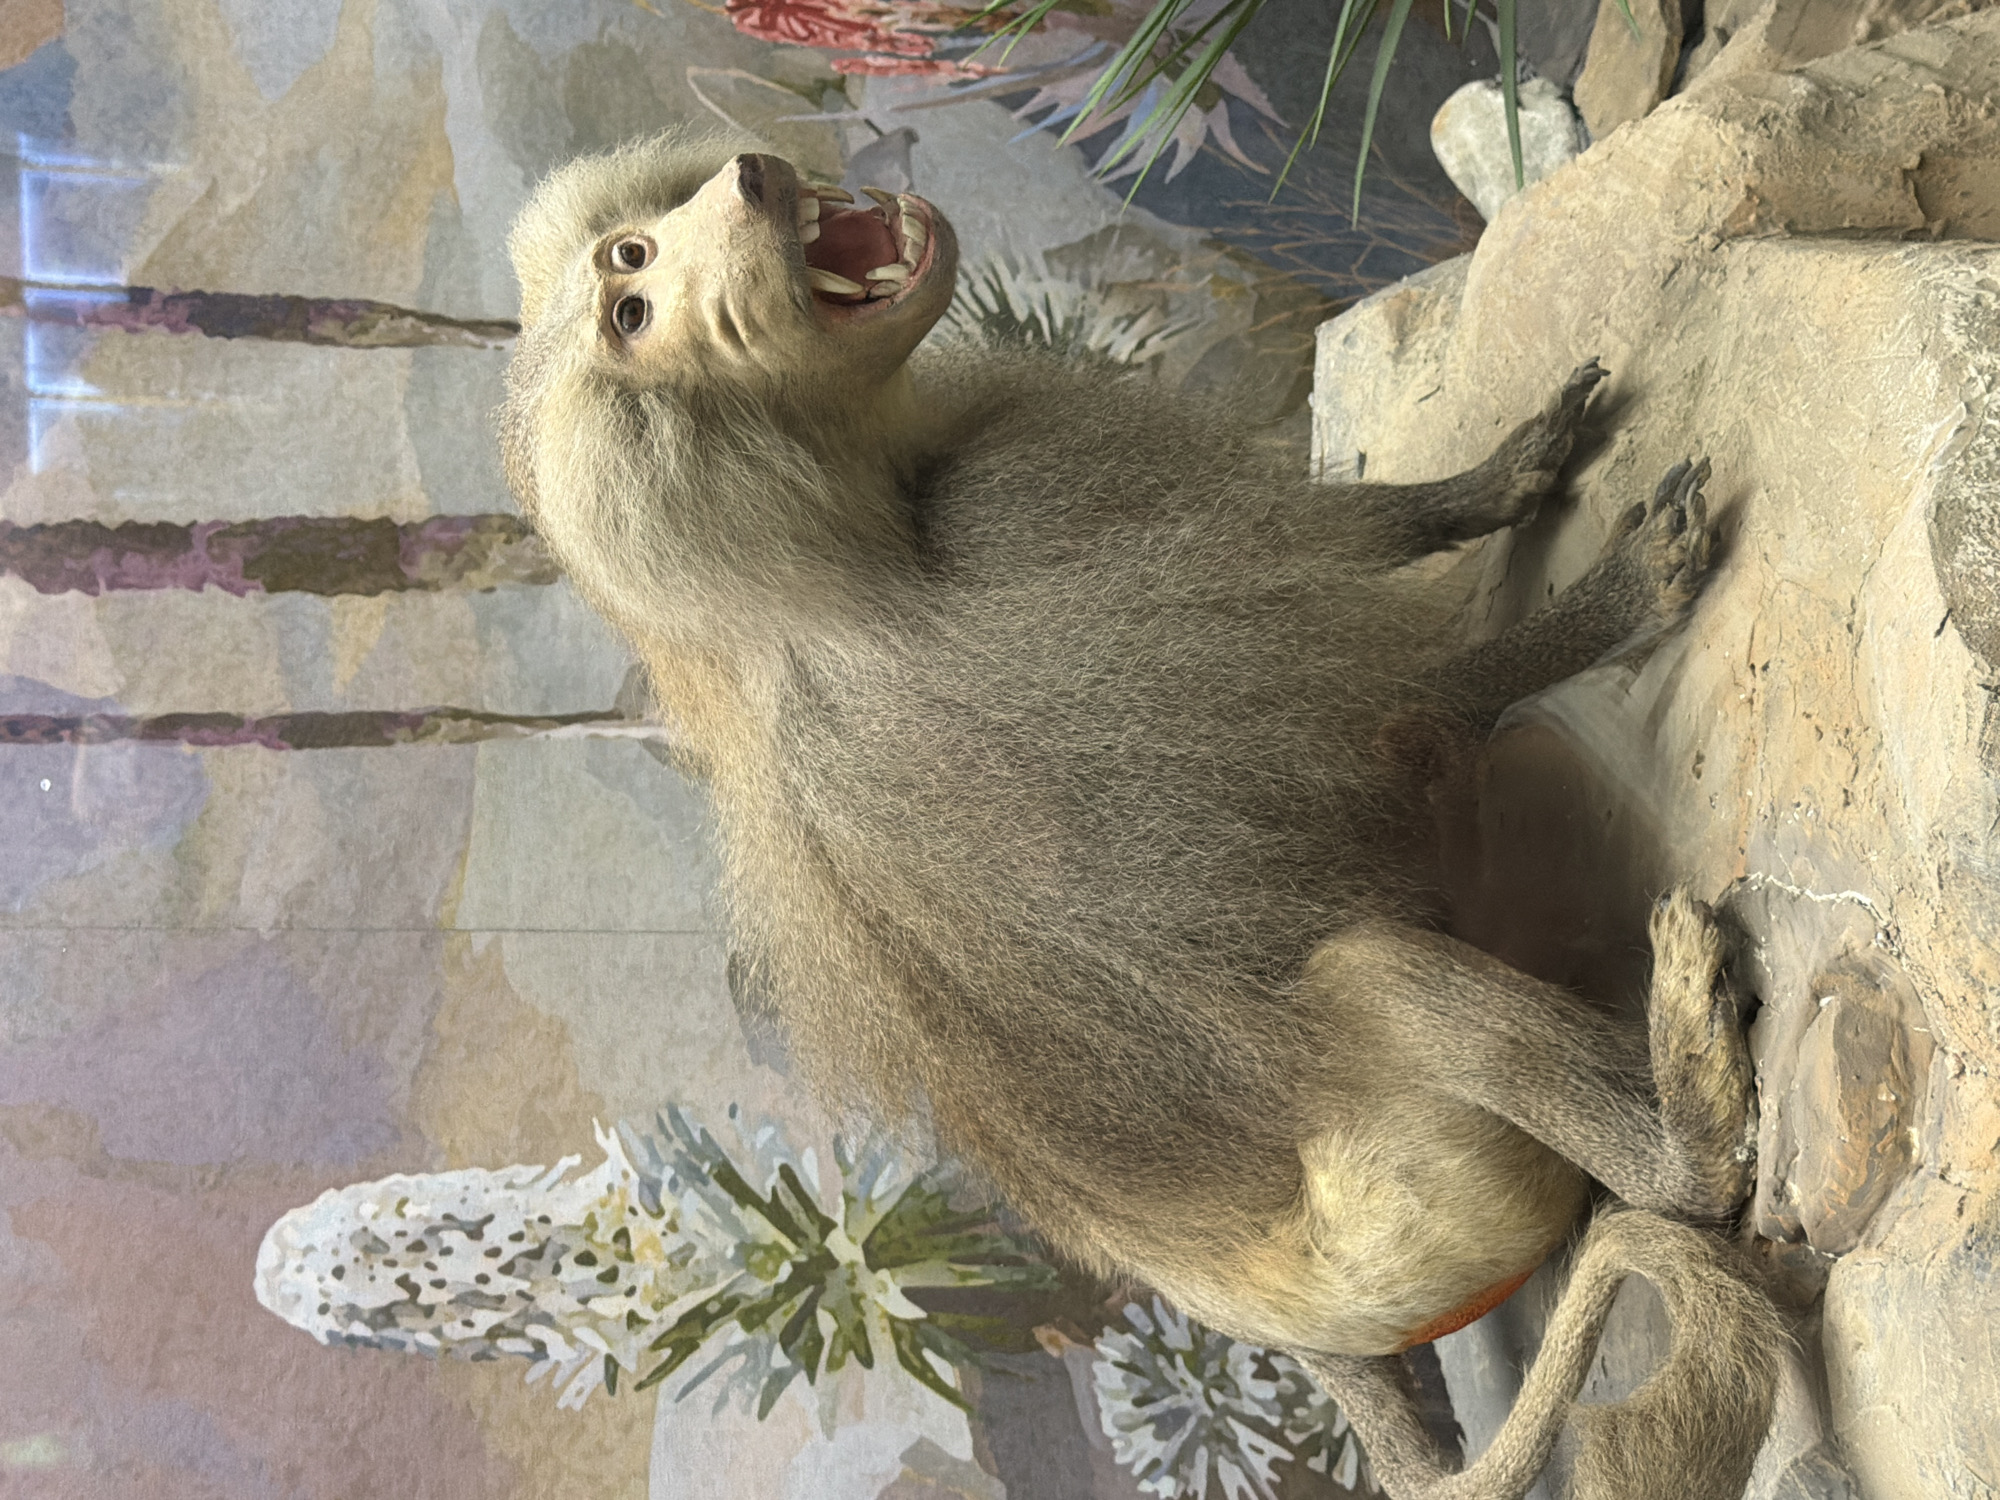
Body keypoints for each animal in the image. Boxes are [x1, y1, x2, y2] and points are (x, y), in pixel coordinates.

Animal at [497, 134, 1782, 1500]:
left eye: (631, 249)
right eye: (630, 297)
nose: (748, 173)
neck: (813, 554)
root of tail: (1289, 1332)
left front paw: (1500, 475)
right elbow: (1395, 727)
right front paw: (1620, 594)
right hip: (1410, 1200)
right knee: (1392, 993)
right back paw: (1691, 1116)